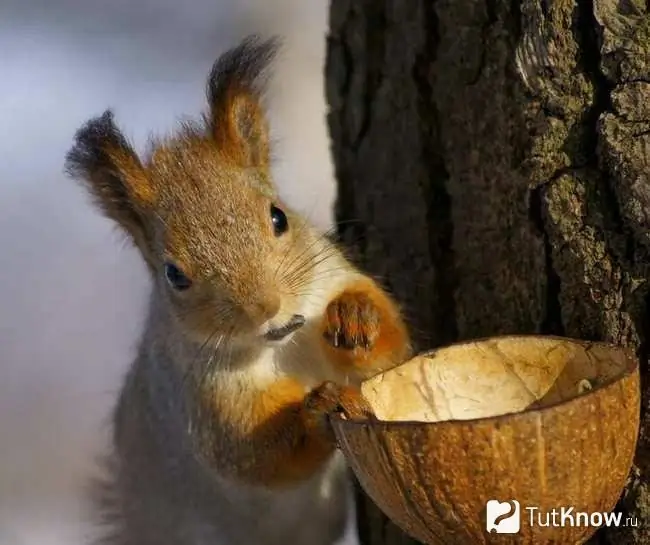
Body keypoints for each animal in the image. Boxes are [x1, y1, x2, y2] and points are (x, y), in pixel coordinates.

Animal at [66, 35, 410, 544]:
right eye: (174, 274)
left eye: (278, 216)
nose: (266, 307)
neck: (284, 344)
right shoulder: (202, 395)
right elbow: (252, 453)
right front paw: (315, 409)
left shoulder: (332, 277)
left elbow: (390, 351)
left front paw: (356, 316)